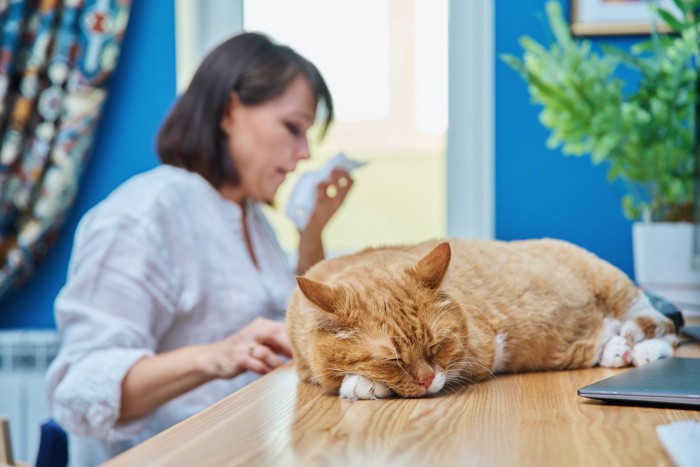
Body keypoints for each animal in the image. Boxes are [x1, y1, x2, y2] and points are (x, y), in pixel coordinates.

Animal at [286, 239, 680, 400]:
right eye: (393, 359)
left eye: (437, 346)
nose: (427, 381)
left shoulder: (479, 352)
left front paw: (360, 384)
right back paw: (617, 348)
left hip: (619, 290)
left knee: (662, 331)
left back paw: (639, 349)